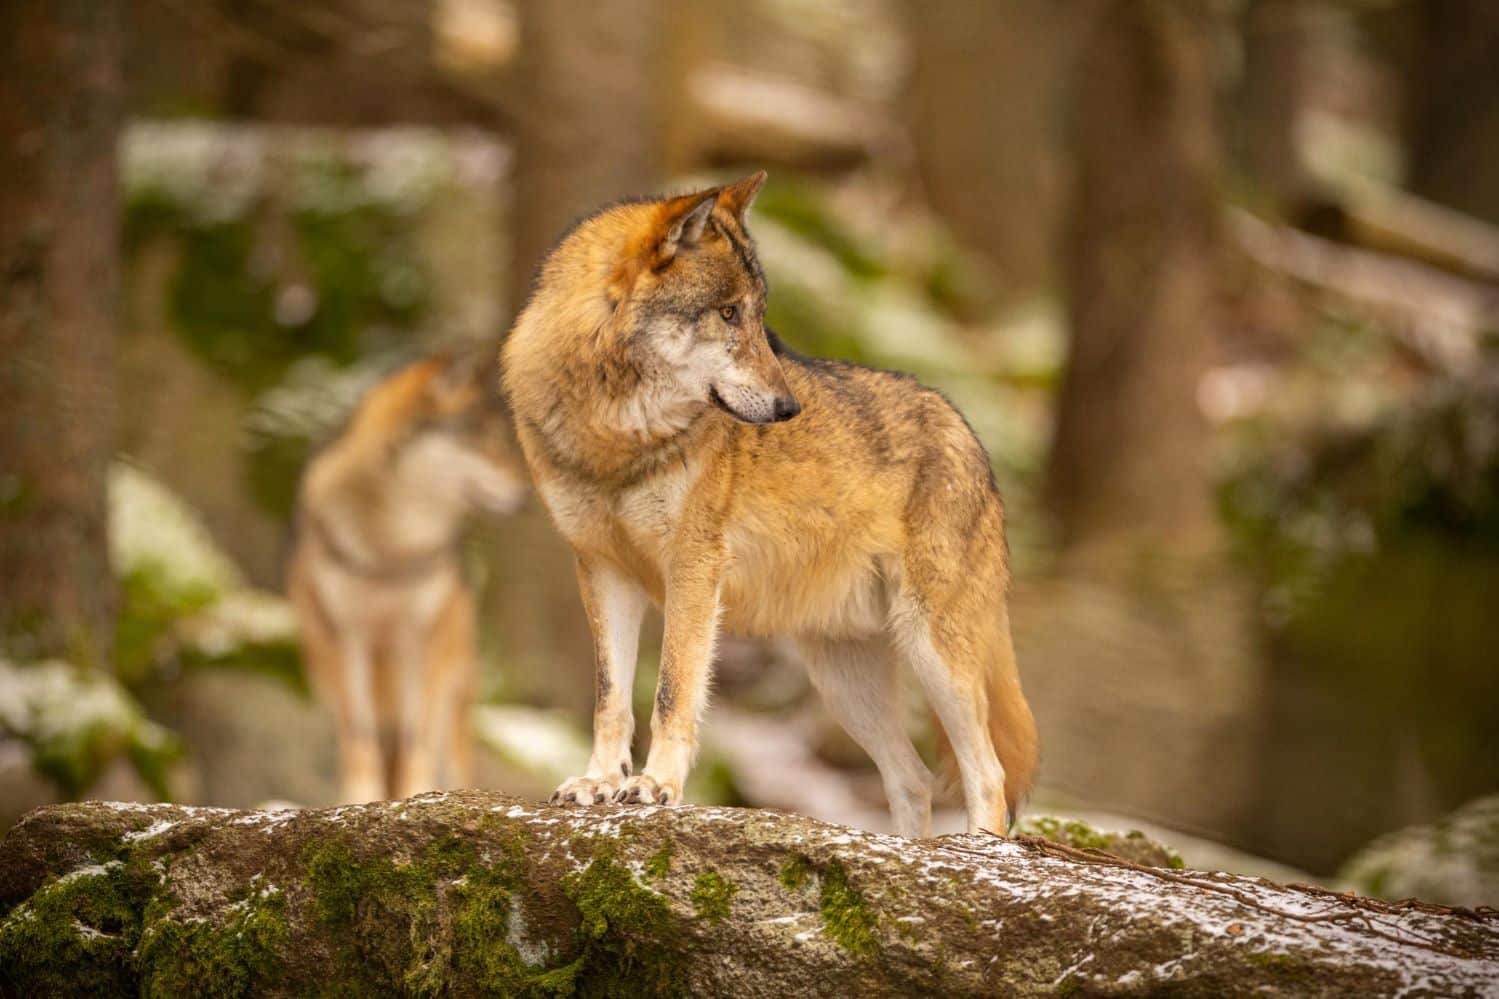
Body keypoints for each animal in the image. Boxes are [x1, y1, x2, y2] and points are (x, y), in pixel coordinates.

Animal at [288, 349, 527, 803]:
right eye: (481, 440)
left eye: (503, 441)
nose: (527, 496)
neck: (392, 549)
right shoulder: (348, 638)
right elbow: (360, 737)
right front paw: (359, 800)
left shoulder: (420, 639)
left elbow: (418, 736)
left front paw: (418, 794)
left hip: (452, 686)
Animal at [502, 172, 1037, 835]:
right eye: (729, 313)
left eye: (760, 318)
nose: (789, 409)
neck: (614, 438)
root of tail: (970, 435)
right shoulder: (602, 571)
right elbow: (610, 698)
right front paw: (598, 782)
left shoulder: (694, 570)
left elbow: (672, 691)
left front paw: (655, 786)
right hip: (843, 680)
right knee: (911, 777)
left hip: (933, 651)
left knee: (987, 774)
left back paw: (974, 852)